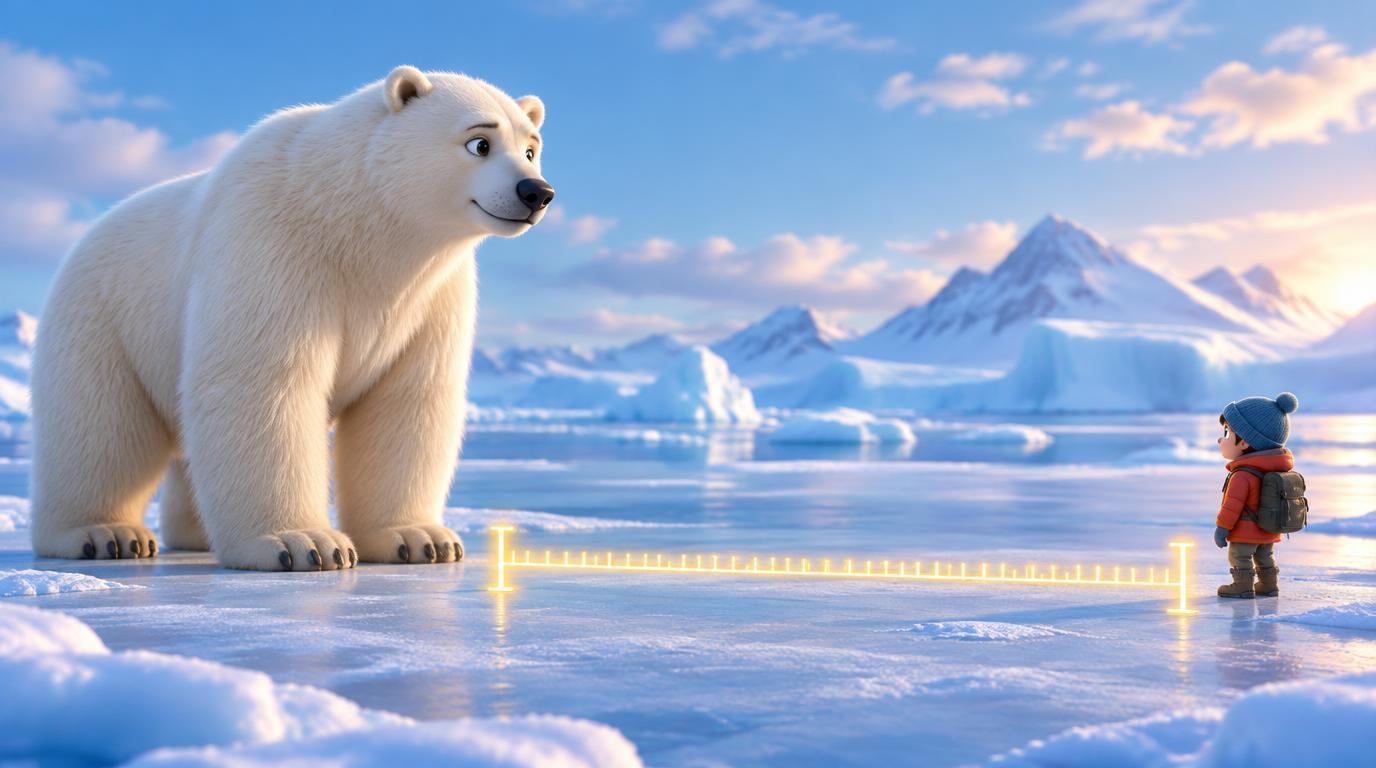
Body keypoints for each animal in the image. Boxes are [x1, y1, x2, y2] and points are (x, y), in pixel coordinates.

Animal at [29, 66, 554, 571]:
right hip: (105, 317)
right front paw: (304, 544)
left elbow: (406, 400)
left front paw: (420, 539)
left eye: (531, 149)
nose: (536, 192)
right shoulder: (275, 243)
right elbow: (263, 382)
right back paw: (105, 534)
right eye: (480, 143)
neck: (356, 224)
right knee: (101, 428)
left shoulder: (433, 296)